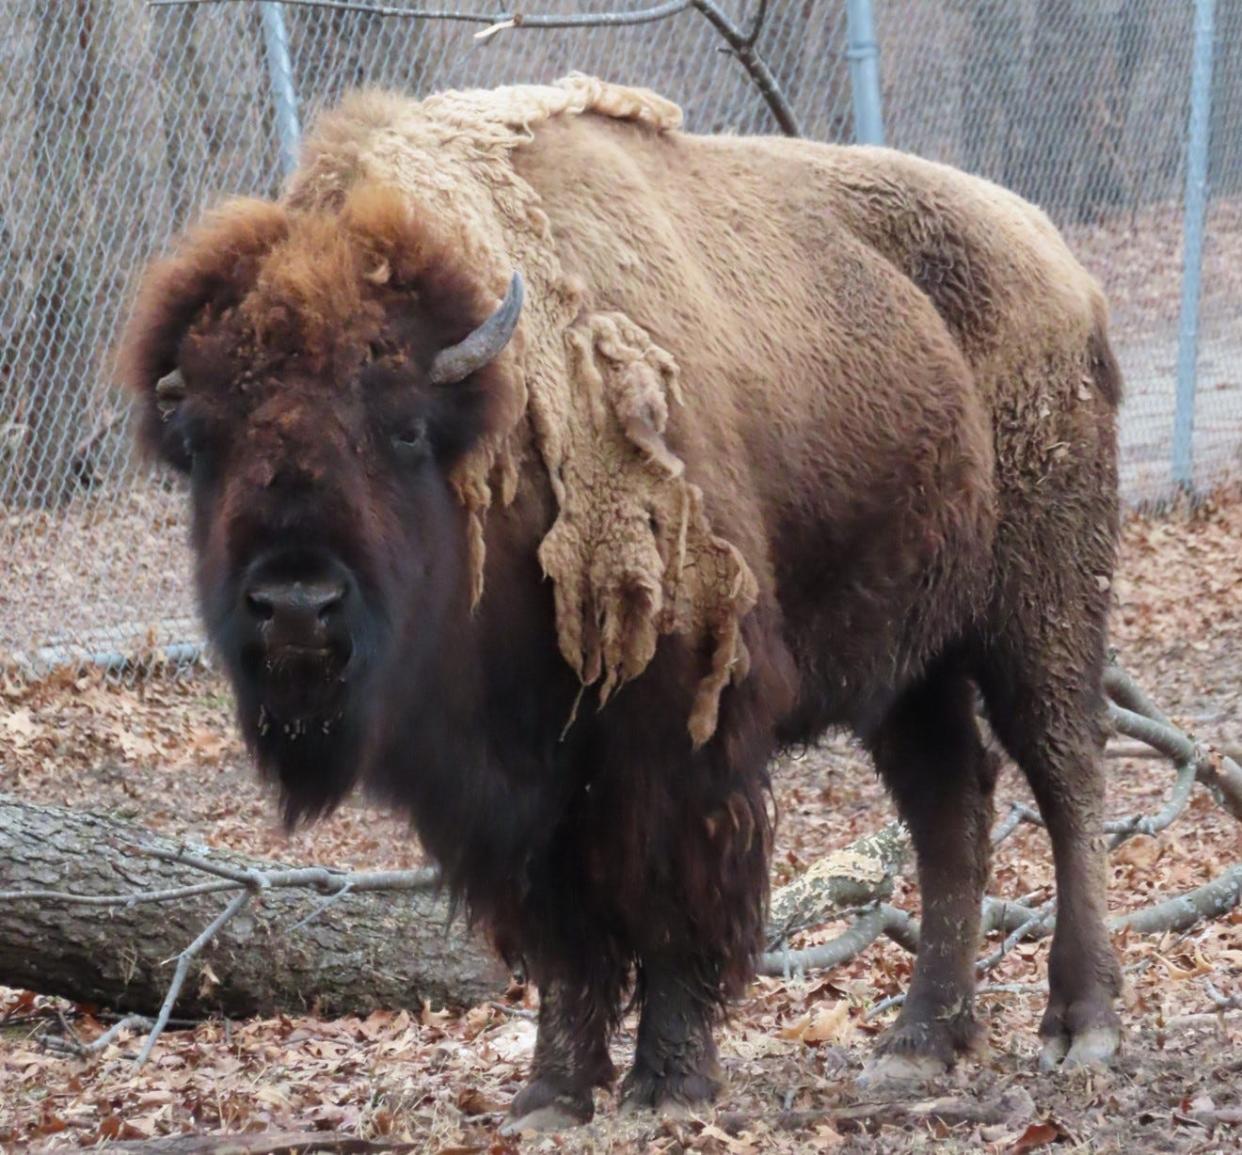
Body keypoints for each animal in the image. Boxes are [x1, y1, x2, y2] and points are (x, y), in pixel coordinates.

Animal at [123, 78, 1127, 1127]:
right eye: (202, 440)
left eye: (400, 428)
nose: (295, 604)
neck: (502, 419)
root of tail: (1059, 264)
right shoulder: (523, 782)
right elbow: (565, 931)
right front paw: (551, 1092)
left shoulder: (676, 725)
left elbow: (670, 898)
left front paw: (670, 1084)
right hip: (908, 665)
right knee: (950, 805)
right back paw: (919, 1043)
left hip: (1041, 609)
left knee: (1068, 776)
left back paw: (1081, 1025)